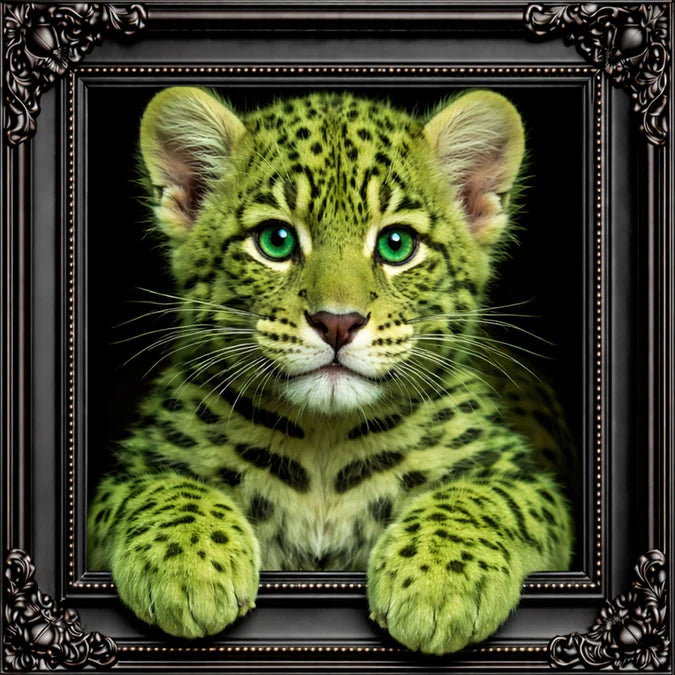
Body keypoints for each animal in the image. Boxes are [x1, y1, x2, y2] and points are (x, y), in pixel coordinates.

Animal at [88, 86, 575, 654]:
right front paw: (186, 566)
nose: (337, 323)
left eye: (396, 245)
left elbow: (485, 497)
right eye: (275, 240)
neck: (324, 444)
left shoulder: (531, 484)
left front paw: (438, 583)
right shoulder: (126, 475)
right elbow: (159, 489)